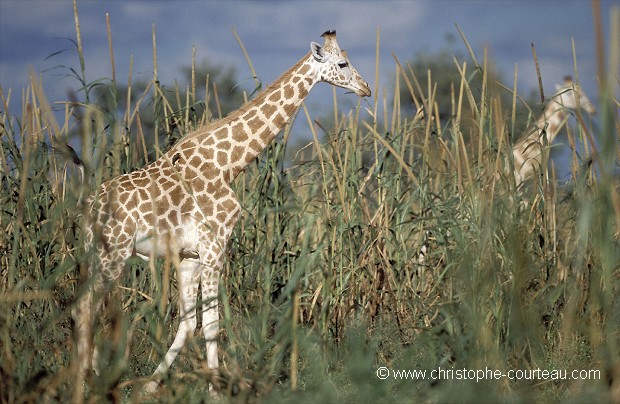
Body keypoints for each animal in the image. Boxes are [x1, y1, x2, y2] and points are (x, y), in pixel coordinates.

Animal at [74, 30, 370, 392]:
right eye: (342, 63)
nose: (366, 88)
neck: (228, 165)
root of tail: (87, 207)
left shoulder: (189, 255)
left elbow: (189, 323)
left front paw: (151, 386)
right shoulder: (215, 245)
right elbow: (212, 323)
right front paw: (215, 389)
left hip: (96, 254)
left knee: (85, 309)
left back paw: (92, 378)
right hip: (112, 254)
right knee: (84, 309)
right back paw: (85, 383)